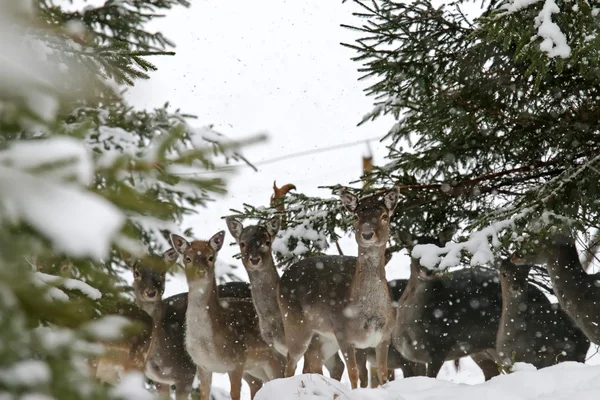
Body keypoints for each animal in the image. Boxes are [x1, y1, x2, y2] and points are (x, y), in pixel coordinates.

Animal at [170, 231, 284, 400]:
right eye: (188, 258)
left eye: (211, 257)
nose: (201, 272)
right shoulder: (202, 365)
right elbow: (204, 394)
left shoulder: (237, 360)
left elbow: (235, 394)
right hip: (255, 367)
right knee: (258, 384)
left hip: (274, 358)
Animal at [392, 231, 552, 378]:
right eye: (414, 250)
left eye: (442, 251)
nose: (430, 268)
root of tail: (546, 298)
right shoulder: (412, 358)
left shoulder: (439, 347)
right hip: (481, 350)